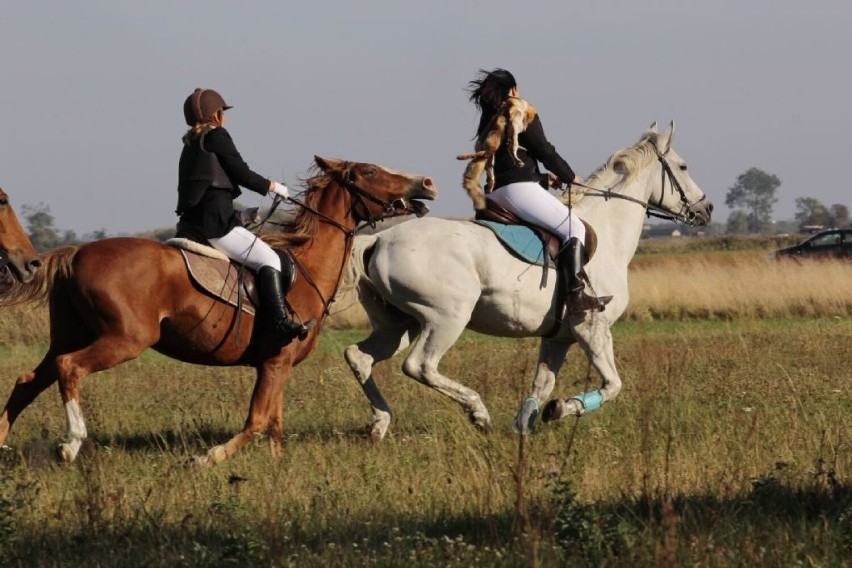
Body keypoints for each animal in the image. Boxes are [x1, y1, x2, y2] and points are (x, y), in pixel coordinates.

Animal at [0, 159, 436, 466]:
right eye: (370, 170)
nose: (427, 184)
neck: (306, 267)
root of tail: (76, 253)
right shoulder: (275, 362)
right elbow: (257, 422)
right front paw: (203, 459)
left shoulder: (277, 365)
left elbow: (273, 425)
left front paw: (274, 470)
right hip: (123, 339)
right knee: (69, 368)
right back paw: (70, 444)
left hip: (70, 334)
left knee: (29, 380)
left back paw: (4, 441)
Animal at [342, 122, 708, 440]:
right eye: (684, 166)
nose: (707, 210)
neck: (608, 232)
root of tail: (378, 240)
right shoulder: (592, 328)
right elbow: (612, 385)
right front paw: (563, 408)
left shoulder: (559, 337)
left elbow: (542, 384)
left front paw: (525, 425)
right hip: (445, 319)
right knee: (420, 366)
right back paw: (478, 412)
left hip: (400, 325)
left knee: (359, 357)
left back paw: (379, 424)